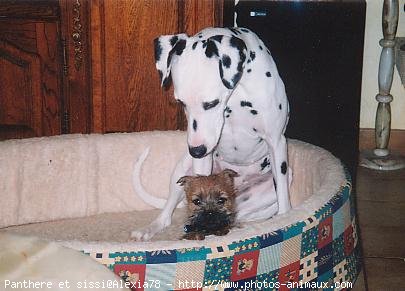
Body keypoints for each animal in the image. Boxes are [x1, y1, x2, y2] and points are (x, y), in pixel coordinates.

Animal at [132, 27, 290, 242]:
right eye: (181, 102)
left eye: (211, 103)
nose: (196, 151)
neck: (236, 95)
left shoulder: (276, 142)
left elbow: (284, 201)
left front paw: (286, 220)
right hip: (182, 170)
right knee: (167, 214)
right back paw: (151, 228)